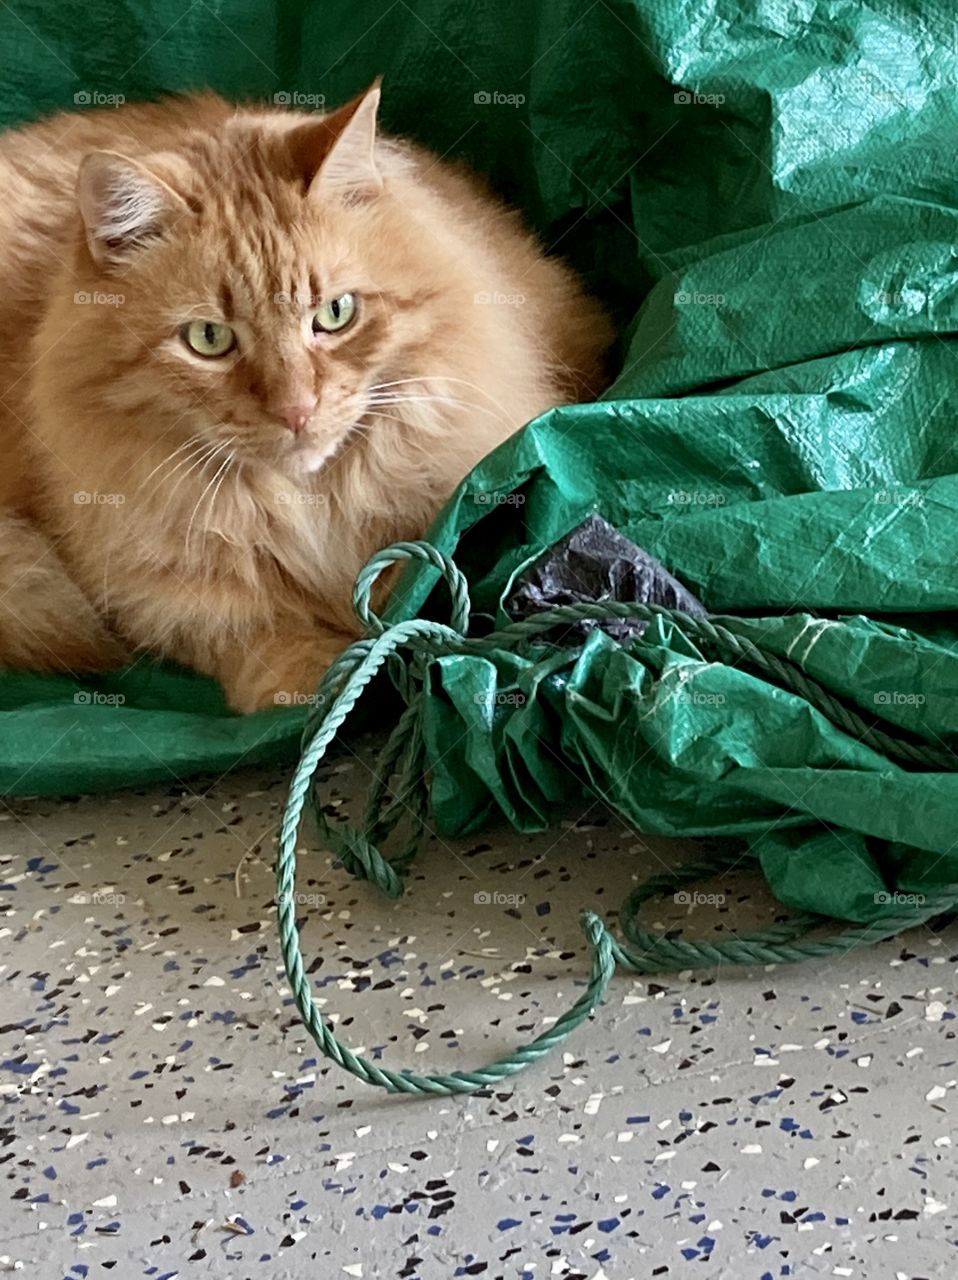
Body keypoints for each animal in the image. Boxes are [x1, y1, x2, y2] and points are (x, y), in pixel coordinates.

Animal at [0, 86, 609, 716]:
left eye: (335, 314)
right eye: (209, 339)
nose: (296, 410)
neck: (307, 507)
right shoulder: (160, 591)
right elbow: (249, 635)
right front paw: (316, 685)